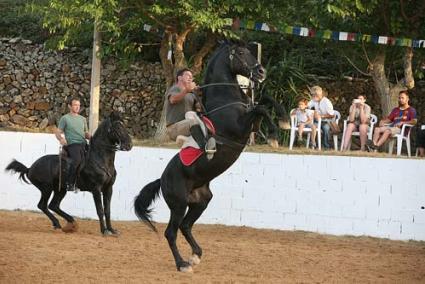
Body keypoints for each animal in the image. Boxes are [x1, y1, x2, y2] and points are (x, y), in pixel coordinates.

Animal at [135, 41, 288, 272]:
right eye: (241, 53)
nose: (261, 72)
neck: (225, 99)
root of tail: (161, 179)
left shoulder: (251, 124)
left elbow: (265, 101)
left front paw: (284, 120)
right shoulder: (241, 127)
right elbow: (261, 108)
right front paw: (273, 135)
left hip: (201, 202)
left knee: (185, 226)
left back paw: (195, 256)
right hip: (179, 204)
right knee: (171, 232)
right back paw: (182, 264)